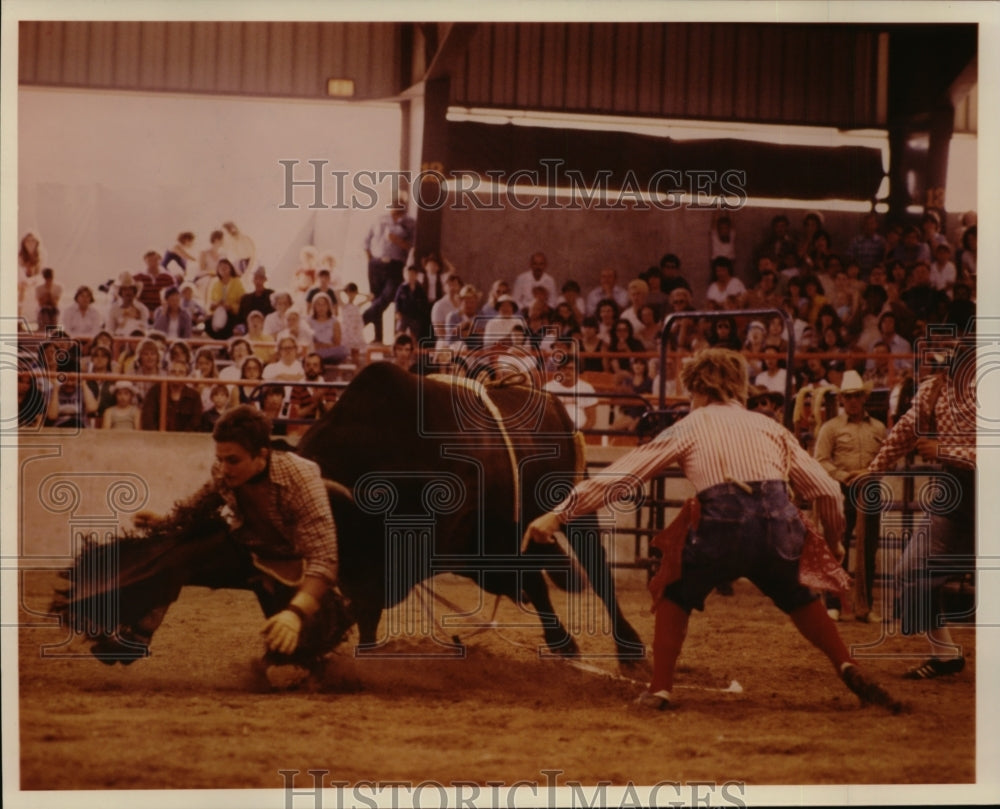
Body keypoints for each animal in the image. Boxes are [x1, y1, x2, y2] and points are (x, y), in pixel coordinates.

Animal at [54, 362, 644, 664]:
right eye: (263, 592)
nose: (296, 652)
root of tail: (552, 405)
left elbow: (368, 600)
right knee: (538, 581)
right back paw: (565, 643)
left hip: (571, 507)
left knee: (593, 570)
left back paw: (627, 645)